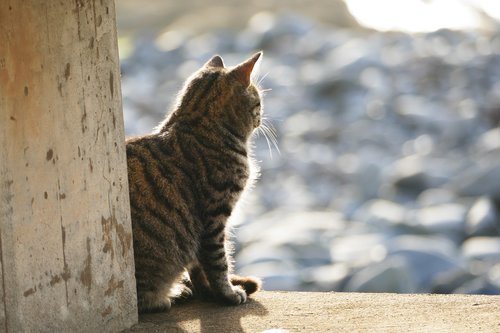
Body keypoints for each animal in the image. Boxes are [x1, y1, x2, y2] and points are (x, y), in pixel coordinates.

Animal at [127, 51, 264, 312]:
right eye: (259, 102)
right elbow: (218, 263)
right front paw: (227, 293)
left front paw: (210, 291)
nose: (262, 118)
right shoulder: (214, 218)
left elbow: (200, 268)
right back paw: (164, 297)